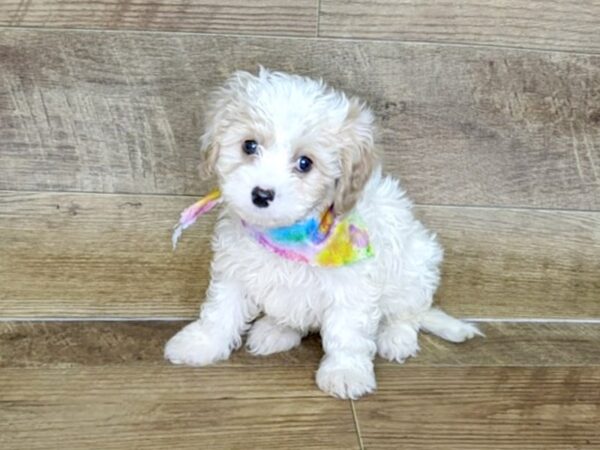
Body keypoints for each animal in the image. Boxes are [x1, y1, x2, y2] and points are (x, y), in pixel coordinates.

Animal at [165, 68, 482, 400]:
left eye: (305, 163)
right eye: (249, 146)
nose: (261, 194)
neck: (286, 235)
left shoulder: (352, 286)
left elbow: (347, 332)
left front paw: (345, 371)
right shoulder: (235, 268)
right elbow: (220, 310)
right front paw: (200, 343)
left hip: (416, 267)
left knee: (407, 312)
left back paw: (397, 338)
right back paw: (276, 331)